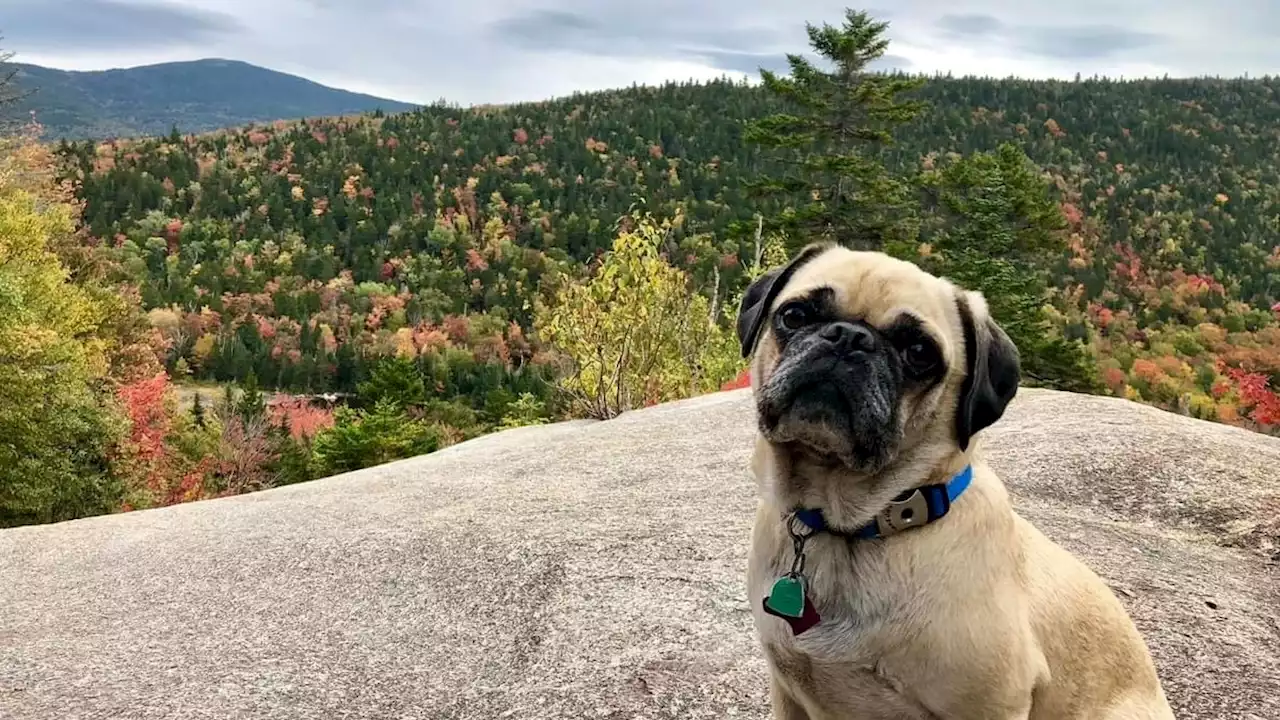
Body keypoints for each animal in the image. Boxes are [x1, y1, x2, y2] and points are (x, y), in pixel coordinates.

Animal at [737, 240, 1172, 717]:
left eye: (919, 352)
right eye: (794, 315)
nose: (849, 337)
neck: (847, 526)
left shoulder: (990, 706)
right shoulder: (788, 692)